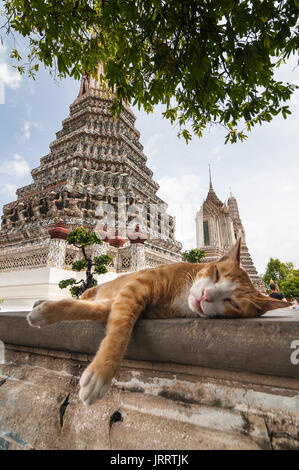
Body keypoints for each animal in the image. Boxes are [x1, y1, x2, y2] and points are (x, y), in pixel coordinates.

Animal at [27, 241, 290, 406]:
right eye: (215, 273)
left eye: (233, 303)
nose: (205, 296)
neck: (182, 295)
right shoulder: (134, 287)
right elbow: (120, 331)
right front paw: (101, 375)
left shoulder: (126, 303)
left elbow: (101, 316)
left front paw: (44, 313)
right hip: (95, 288)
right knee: (83, 295)